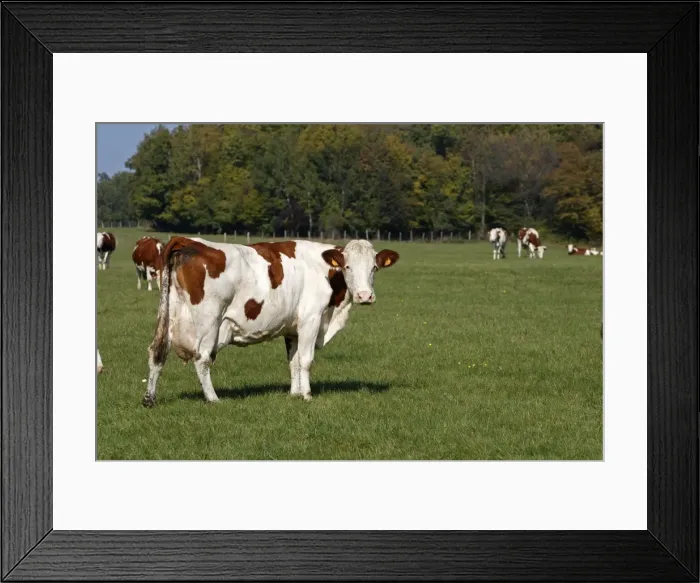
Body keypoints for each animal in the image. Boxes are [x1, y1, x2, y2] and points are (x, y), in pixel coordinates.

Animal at [142, 237, 400, 406]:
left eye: (374, 267)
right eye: (347, 266)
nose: (365, 296)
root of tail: (187, 241)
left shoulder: (292, 329)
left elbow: (293, 361)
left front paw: (294, 393)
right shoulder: (311, 319)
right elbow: (306, 360)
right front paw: (306, 394)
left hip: (168, 316)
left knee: (157, 353)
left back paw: (149, 398)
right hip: (209, 321)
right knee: (202, 359)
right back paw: (213, 398)